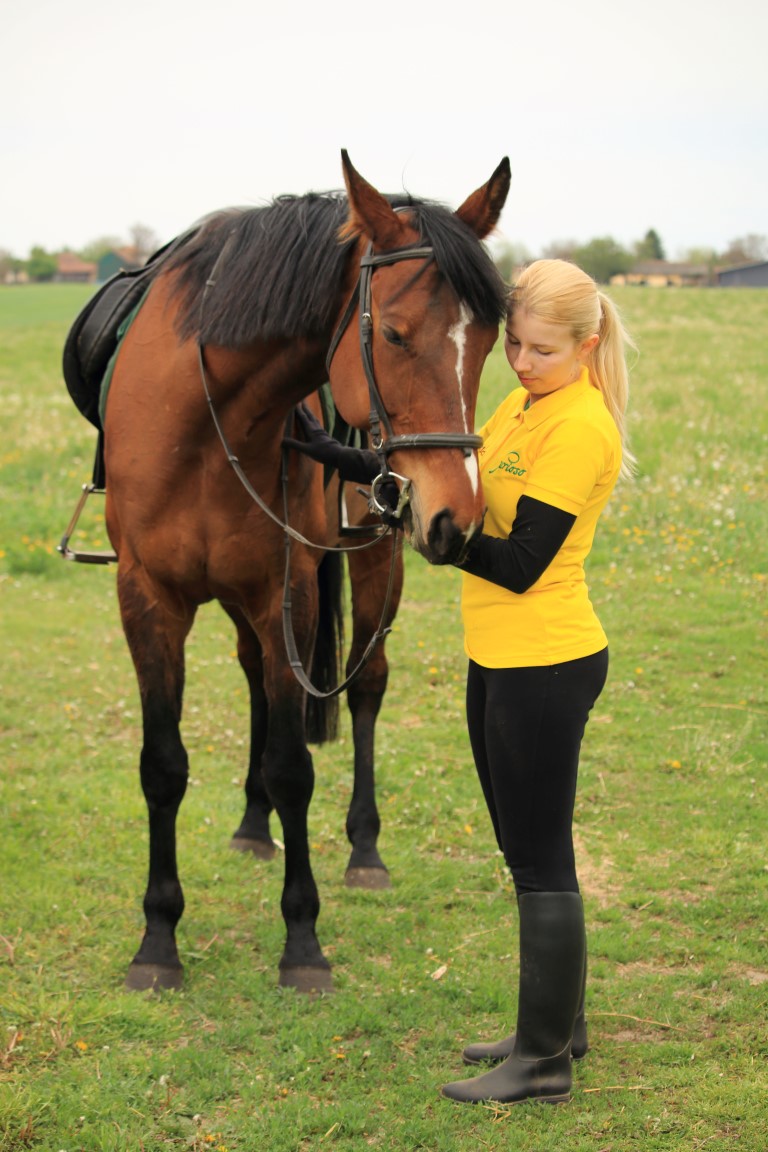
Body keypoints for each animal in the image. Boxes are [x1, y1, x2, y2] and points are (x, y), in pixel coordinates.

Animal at [101, 150, 510, 993]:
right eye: (394, 334)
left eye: (489, 340)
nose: (457, 518)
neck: (206, 419)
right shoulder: (149, 598)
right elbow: (162, 766)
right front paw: (157, 940)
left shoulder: (284, 593)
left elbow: (294, 765)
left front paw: (302, 942)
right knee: (256, 676)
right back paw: (254, 825)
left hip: (373, 564)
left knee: (366, 685)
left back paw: (364, 849)